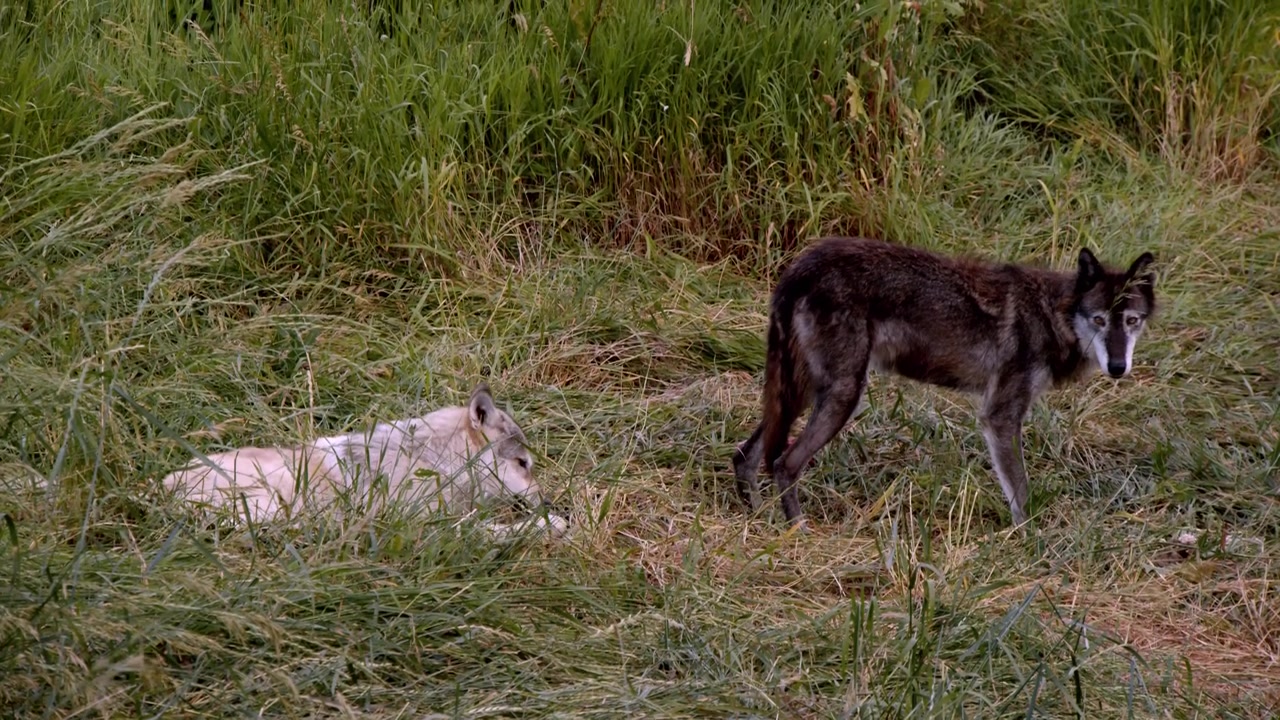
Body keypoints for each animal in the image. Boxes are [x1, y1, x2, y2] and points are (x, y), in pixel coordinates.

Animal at [162, 384, 568, 539]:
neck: (437, 460)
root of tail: (156, 491)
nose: (549, 500)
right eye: (524, 464)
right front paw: (551, 524)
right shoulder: (422, 525)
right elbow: (487, 529)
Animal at [732, 237, 1157, 526]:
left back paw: (757, 519)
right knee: (784, 463)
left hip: (801, 394)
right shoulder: (1000, 417)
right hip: (841, 396)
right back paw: (797, 530)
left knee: (744, 455)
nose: (1118, 367)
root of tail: (801, 266)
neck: (1054, 314)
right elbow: (1021, 495)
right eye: (1099, 320)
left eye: (1131, 321)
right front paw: (1031, 545)